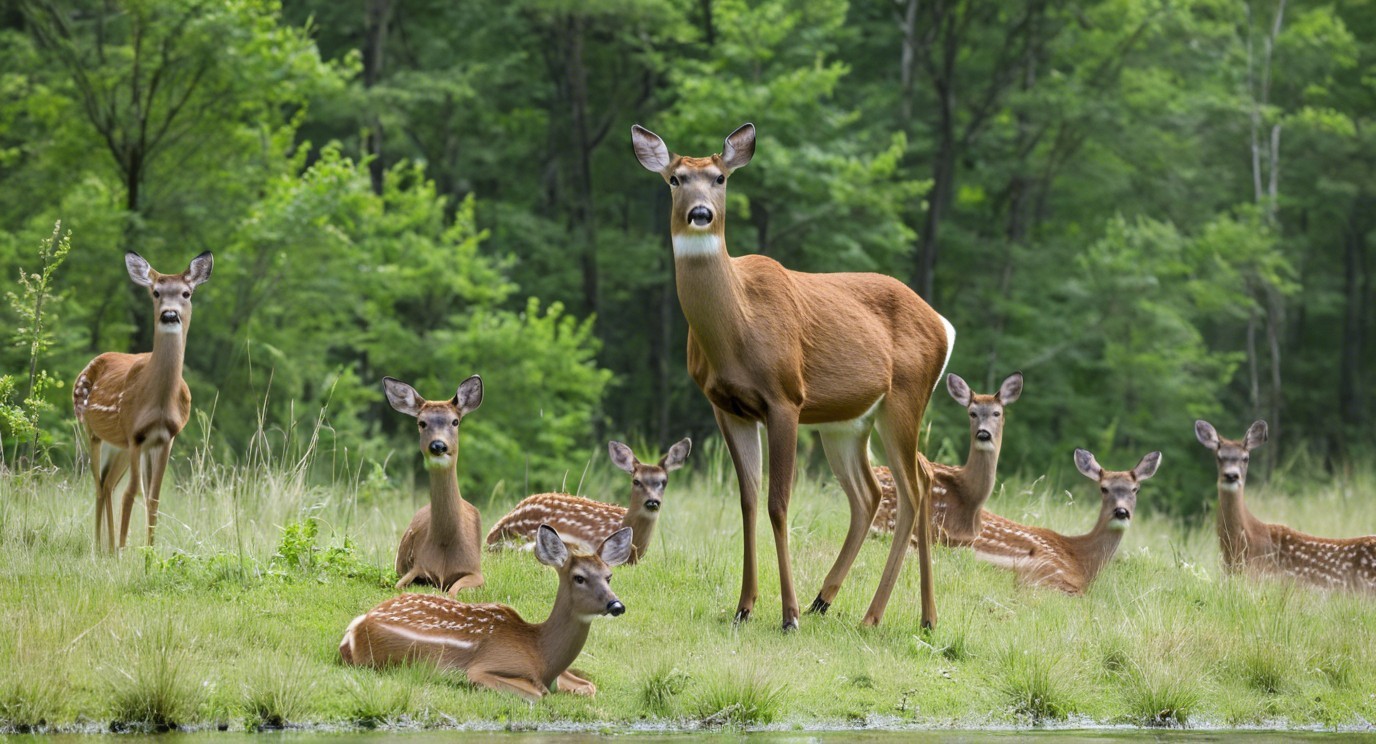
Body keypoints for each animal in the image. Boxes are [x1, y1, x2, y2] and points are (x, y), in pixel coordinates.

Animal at [74, 251, 213, 551]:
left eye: (186, 293)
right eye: (156, 292)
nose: (169, 314)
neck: (158, 403)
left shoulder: (164, 438)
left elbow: (154, 496)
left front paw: (149, 551)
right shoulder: (135, 434)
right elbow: (131, 493)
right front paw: (124, 550)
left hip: (120, 447)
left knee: (108, 483)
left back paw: (107, 547)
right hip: (93, 431)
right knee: (99, 485)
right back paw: (100, 547)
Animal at [340, 525, 632, 701]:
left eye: (609, 576)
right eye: (579, 577)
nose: (615, 605)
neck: (541, 653)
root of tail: (355, 627)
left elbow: (588, 686)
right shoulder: (483, 668)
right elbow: (538, 694)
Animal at [382, 375, 486, 595]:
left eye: (455, 421)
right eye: (422, 422)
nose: (438, 445)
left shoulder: (475, 571)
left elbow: (454, 591)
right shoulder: (418, 565)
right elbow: (399, 585)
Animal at [633, 123, 956, 630]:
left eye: (720, 177)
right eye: (675, 178)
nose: (700, 213)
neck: (737, 326)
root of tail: (944, 325)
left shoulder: (785, 398)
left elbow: (778, 503)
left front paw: (787, 614)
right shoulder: (726, 407)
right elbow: (747, 499)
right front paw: (744, 607)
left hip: (904, 398)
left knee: (913, 487)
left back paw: (878, 616)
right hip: (847, 423)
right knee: (873, 491)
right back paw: (842, 602)